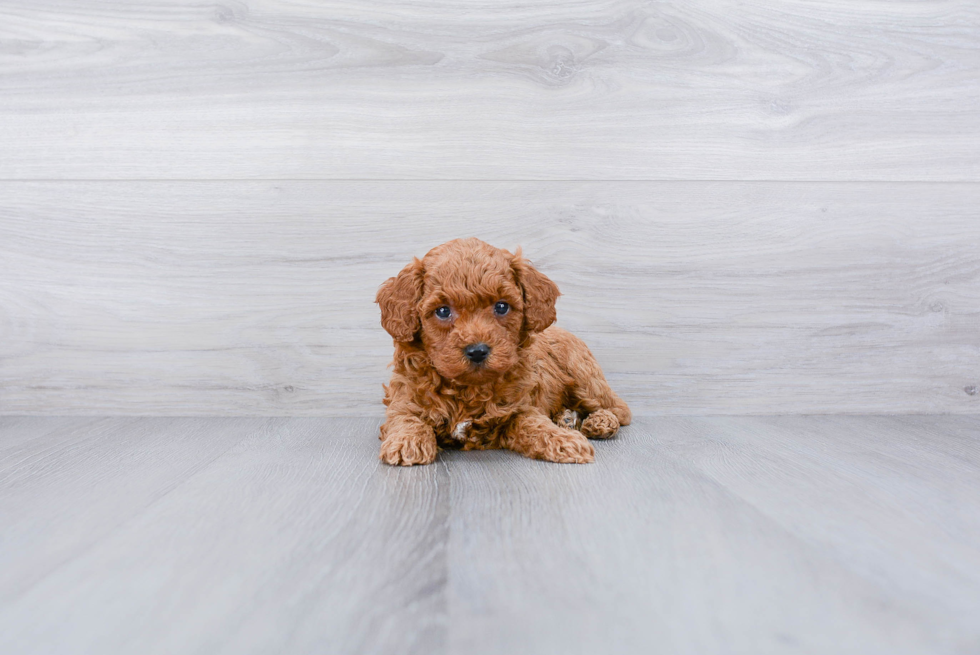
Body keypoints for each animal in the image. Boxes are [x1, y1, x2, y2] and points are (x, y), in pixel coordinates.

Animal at [376, 240, 628, 466]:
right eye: (443, 311)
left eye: (501, 306)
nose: (477, 351)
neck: (469, 389)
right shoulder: (404, 399)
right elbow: (405, 418)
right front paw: (407, 442)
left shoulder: (520, 407)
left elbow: (534, 424)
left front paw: (562, 440)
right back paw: (567, 417)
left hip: (585, 378)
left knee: (619, 409)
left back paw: (600, 421)